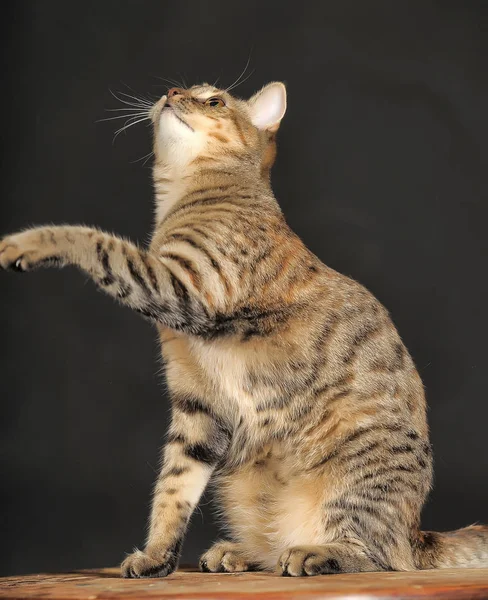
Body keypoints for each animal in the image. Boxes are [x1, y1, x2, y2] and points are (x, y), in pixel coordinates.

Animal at [0, 81, 488, 576]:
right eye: (181, 88)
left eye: (213, 100)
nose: (172, 91)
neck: (182, 197)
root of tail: (416, 533)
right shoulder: (196, 404)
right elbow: (174, 487)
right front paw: (157, 558)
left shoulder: (183, 288)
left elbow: (94, 241)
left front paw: (25, 243)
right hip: (239, 481)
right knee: (278, 546)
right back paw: (239, 552)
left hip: (356, 476)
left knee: (377, 556)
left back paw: (315, 552)